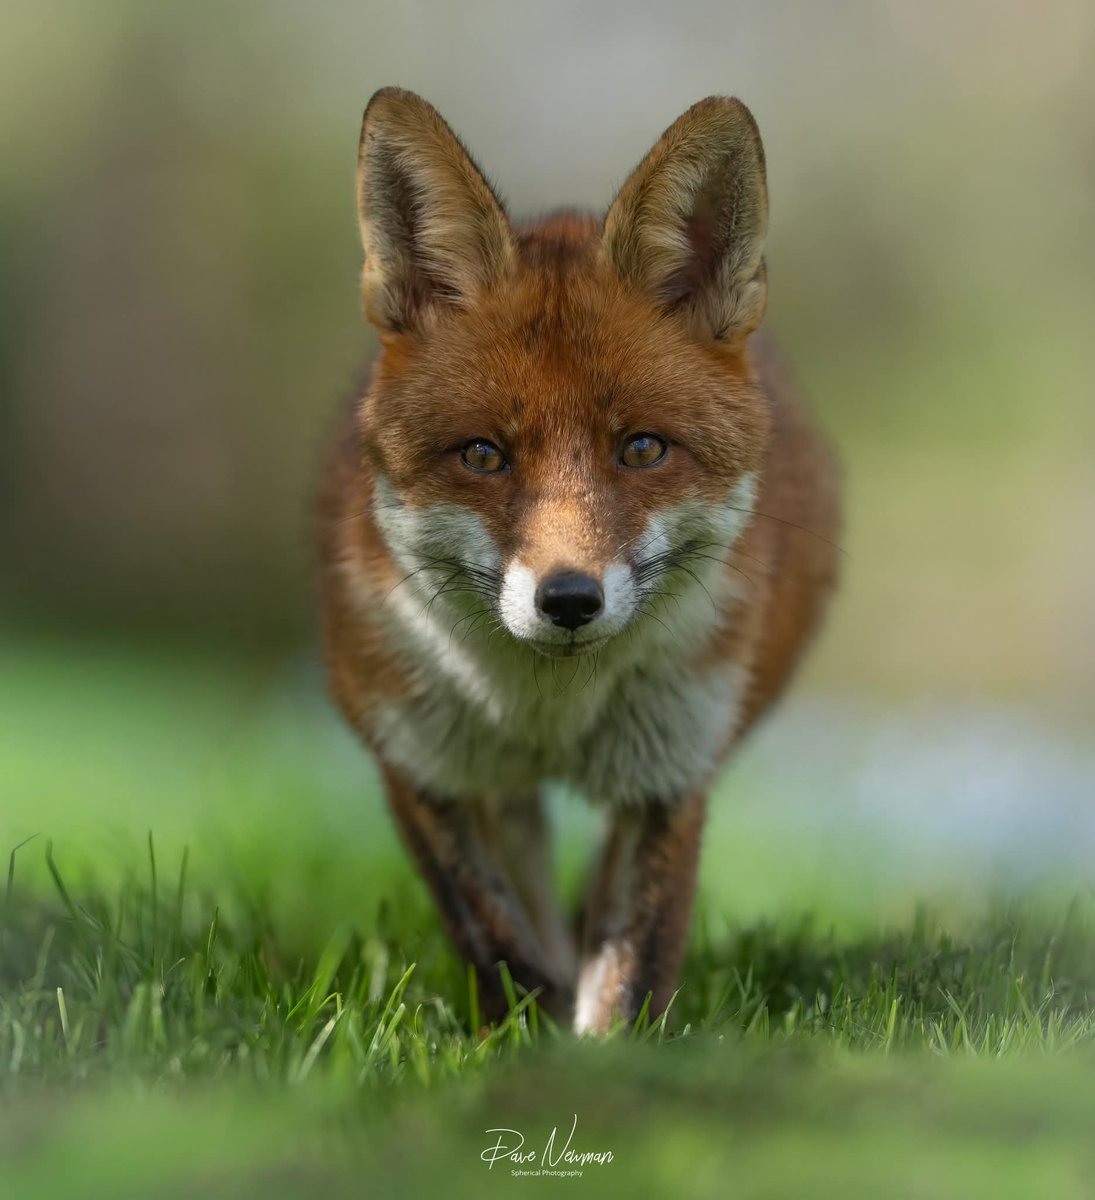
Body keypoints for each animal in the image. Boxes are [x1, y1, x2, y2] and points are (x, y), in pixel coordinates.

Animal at [317, 87, 840, 1034]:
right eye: (482, 455)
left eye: (641, 449)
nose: (567, 600)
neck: (547, 713)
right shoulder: (416, 764)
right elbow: (498, 945)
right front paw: (529, 1039)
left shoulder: (669, 775)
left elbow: (627, 975)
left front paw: (599, 1057)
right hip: (495, 787)